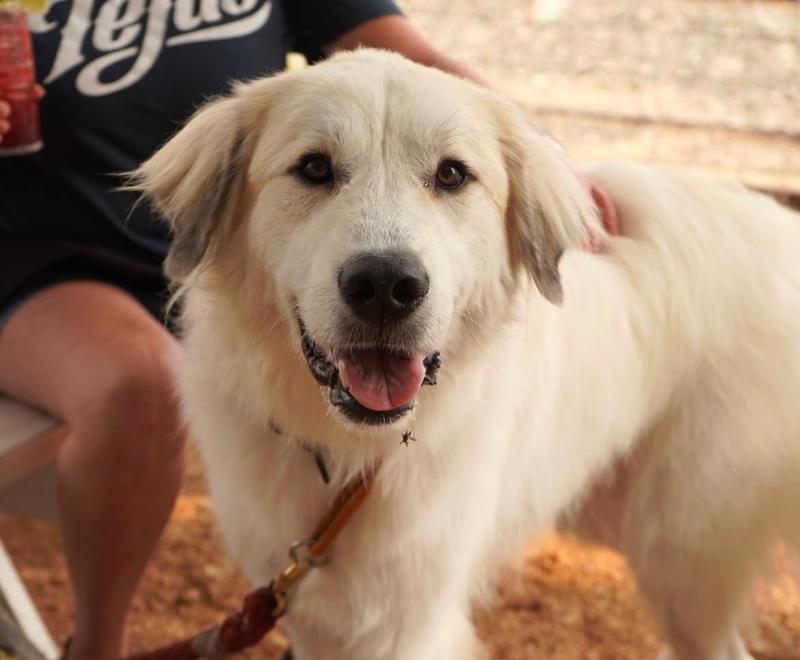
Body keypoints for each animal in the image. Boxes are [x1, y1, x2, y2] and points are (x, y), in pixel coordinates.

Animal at [134, 49, 800, 656]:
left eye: (452, 175)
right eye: (315, 168)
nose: (386, 286)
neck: (354, 456)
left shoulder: (402, 622)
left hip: (684, 549)